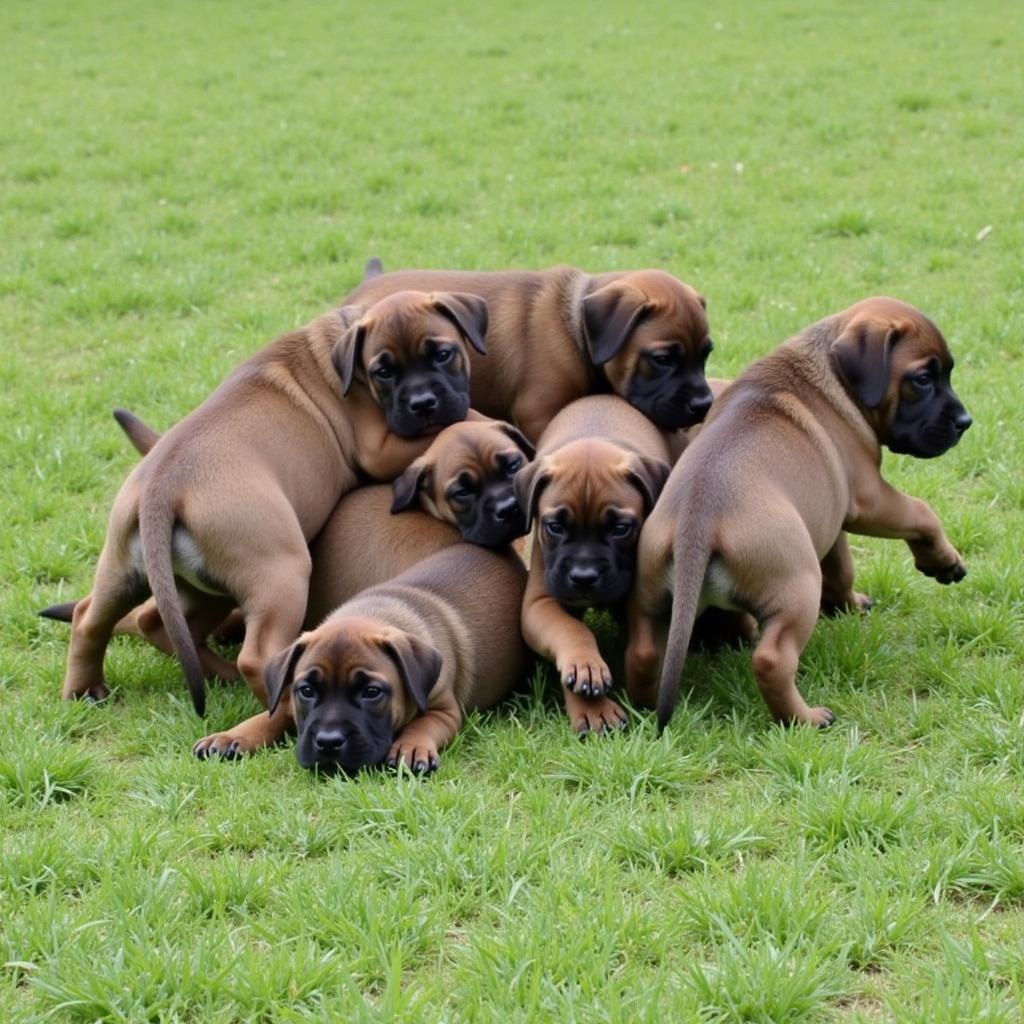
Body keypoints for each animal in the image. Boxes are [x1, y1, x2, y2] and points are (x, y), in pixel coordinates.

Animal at [58, 288, 489, 761]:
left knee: (98, 618)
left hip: (144, 573)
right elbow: (464, 417)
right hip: (280, 574)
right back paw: (276, 707)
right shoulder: (380, 447)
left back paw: (88, 689)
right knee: (257, 656)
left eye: (443, 354)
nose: (422, 404)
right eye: (383, 371)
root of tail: (163, 485)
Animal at [516, 393, 675, 737]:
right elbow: (571, 629)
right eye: (555, 527)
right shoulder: (540, 603)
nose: (584, 577)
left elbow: (645, 650)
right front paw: (589, 687)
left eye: (620, 529)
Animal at [626, 296, 970, 729]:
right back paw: (804, 718)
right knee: (772, 659)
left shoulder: (829, 517)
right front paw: (943, 561)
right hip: (798, 587)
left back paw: (643, 706)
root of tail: (697, 522)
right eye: (923, 379)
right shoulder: (870, 499)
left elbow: (841, 569)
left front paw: (847, 604)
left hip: (651, 596)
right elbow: (922, 513)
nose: (965, 422)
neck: (832, 376)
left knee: (643, 653)